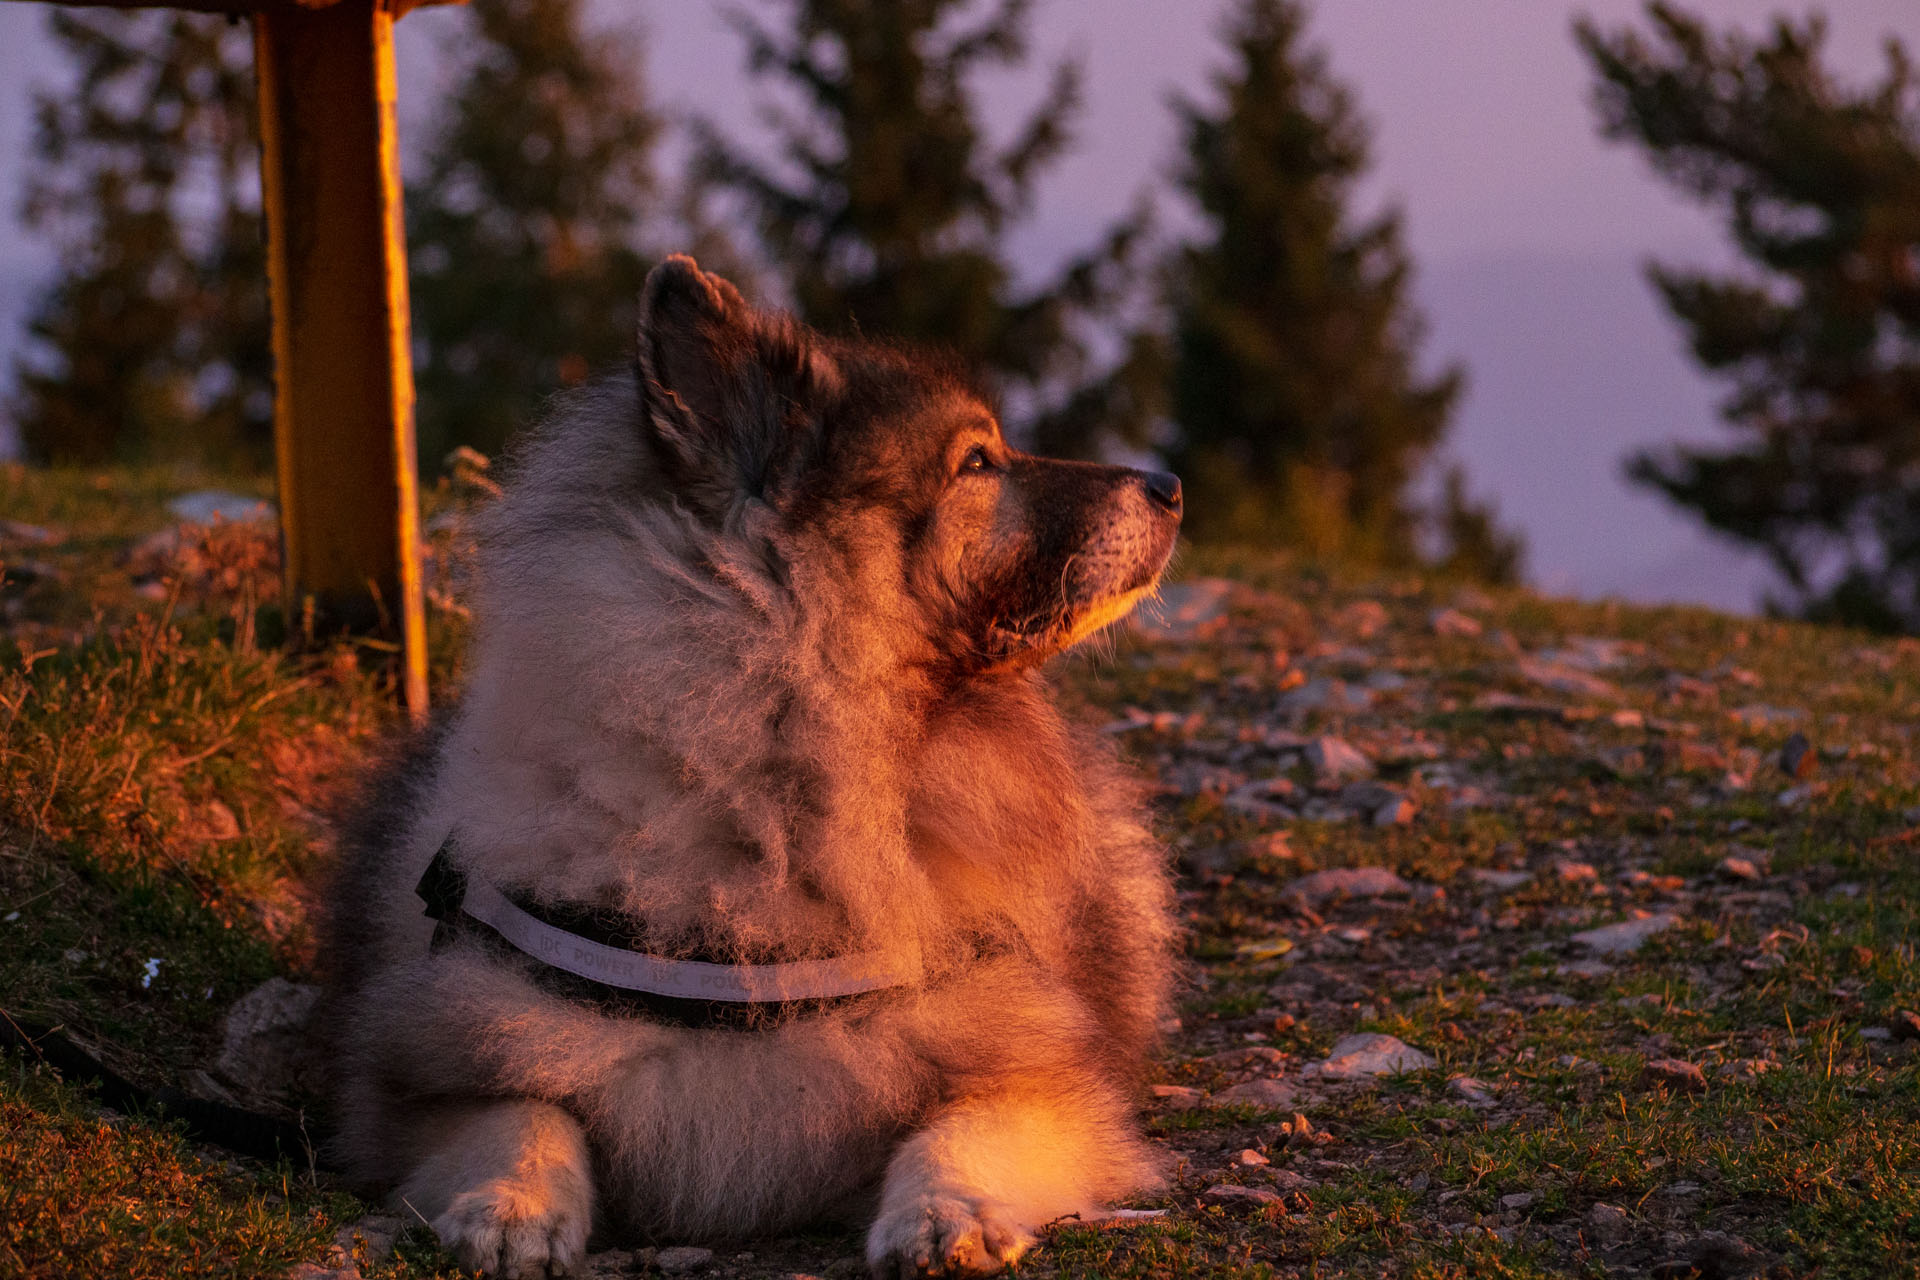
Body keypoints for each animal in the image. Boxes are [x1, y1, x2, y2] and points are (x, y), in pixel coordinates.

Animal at [318, 255, 1182, 1274]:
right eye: (978, 463)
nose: (1171, 484)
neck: (765, 815)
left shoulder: (1035, 1075)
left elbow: (962, 1130)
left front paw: (947, 1218)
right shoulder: (432, 1066)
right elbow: (520, 1112)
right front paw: (506, 1207)